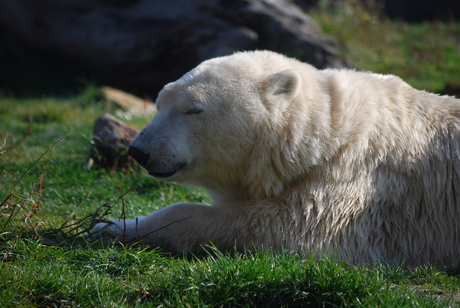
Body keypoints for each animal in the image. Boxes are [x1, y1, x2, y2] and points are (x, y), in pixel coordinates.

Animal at [91, 50, 460, 268]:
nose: (139, 150)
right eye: (159, 102)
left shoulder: (357, 185)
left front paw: (110, 227)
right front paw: (110, 224)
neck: (326, 133)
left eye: (193, 109)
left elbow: (286, 226)